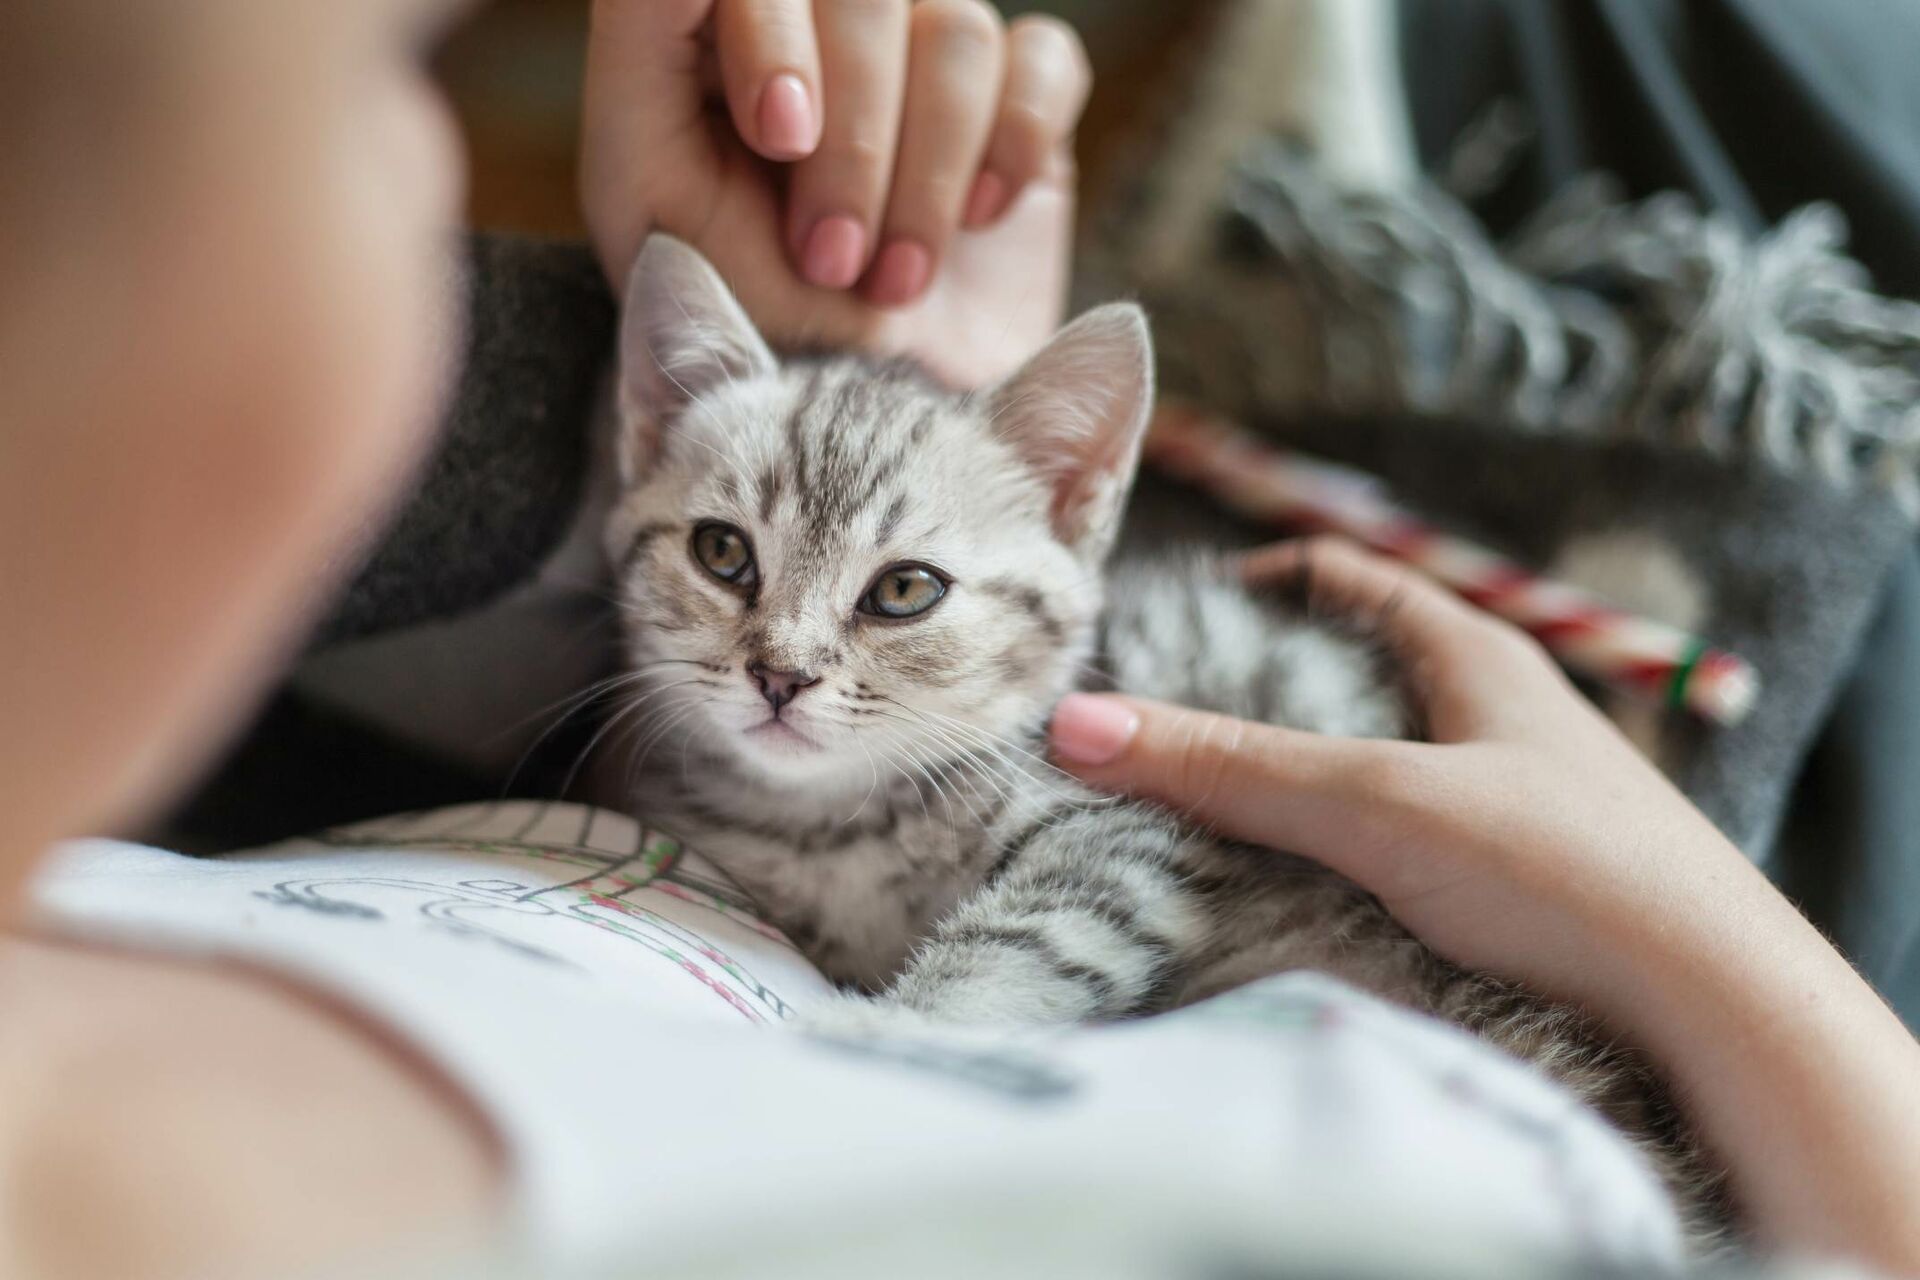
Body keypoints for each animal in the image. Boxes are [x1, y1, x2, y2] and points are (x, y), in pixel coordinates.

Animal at [599, 237, 1728, 1243]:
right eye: (722, 553)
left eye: (905, 590)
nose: (780, 675)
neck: (834, 816)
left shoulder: (1130, 832)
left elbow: (1024, 936)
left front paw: (884, 1030)